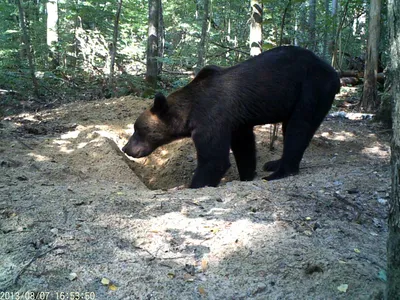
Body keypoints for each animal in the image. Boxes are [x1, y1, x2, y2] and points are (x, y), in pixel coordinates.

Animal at [122, 45, 340, 188]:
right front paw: (247, 175)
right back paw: (273, 163)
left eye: (138, 129)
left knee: (299, 127)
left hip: (311, 88)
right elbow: (244, 148)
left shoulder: (211, 120)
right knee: (290, 128)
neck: (190, 113)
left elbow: (214, 160)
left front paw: (196, 184)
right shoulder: (237, 122)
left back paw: (279, 172)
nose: (126, 148)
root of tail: (335, 74)